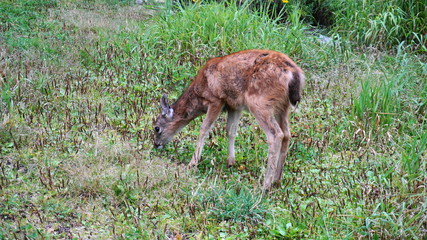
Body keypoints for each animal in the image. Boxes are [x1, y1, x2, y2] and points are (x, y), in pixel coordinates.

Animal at [153, 49, 304, 190]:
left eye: (156, 128)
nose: (156, 144)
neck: (199, 93)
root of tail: (294, 74)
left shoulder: (216, 100)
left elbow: (204, 129)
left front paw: (192, 163)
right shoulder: (234, 105)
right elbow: (230, 131)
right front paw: (230, 162)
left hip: (260, 102)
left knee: (276, 134)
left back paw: (265, 185)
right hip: (283, 107)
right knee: (287, 134)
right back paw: (277, 180)